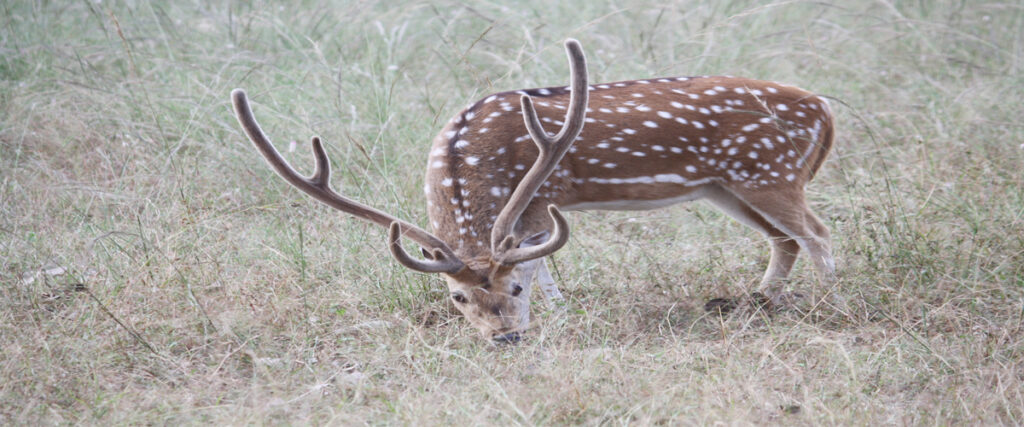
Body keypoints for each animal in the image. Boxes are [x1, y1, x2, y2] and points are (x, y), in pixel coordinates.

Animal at [232, 38, 831, 342]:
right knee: (785, 239)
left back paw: (833, 305)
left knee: (818, 234)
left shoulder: (540, 199)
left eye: (512, 290)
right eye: (457, 298)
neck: (468, 157)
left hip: (771, 172)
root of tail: (824, 110)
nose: (506, 336)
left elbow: (540, 260)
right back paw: (760, 301)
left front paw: (561, 315)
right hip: (725, 185)